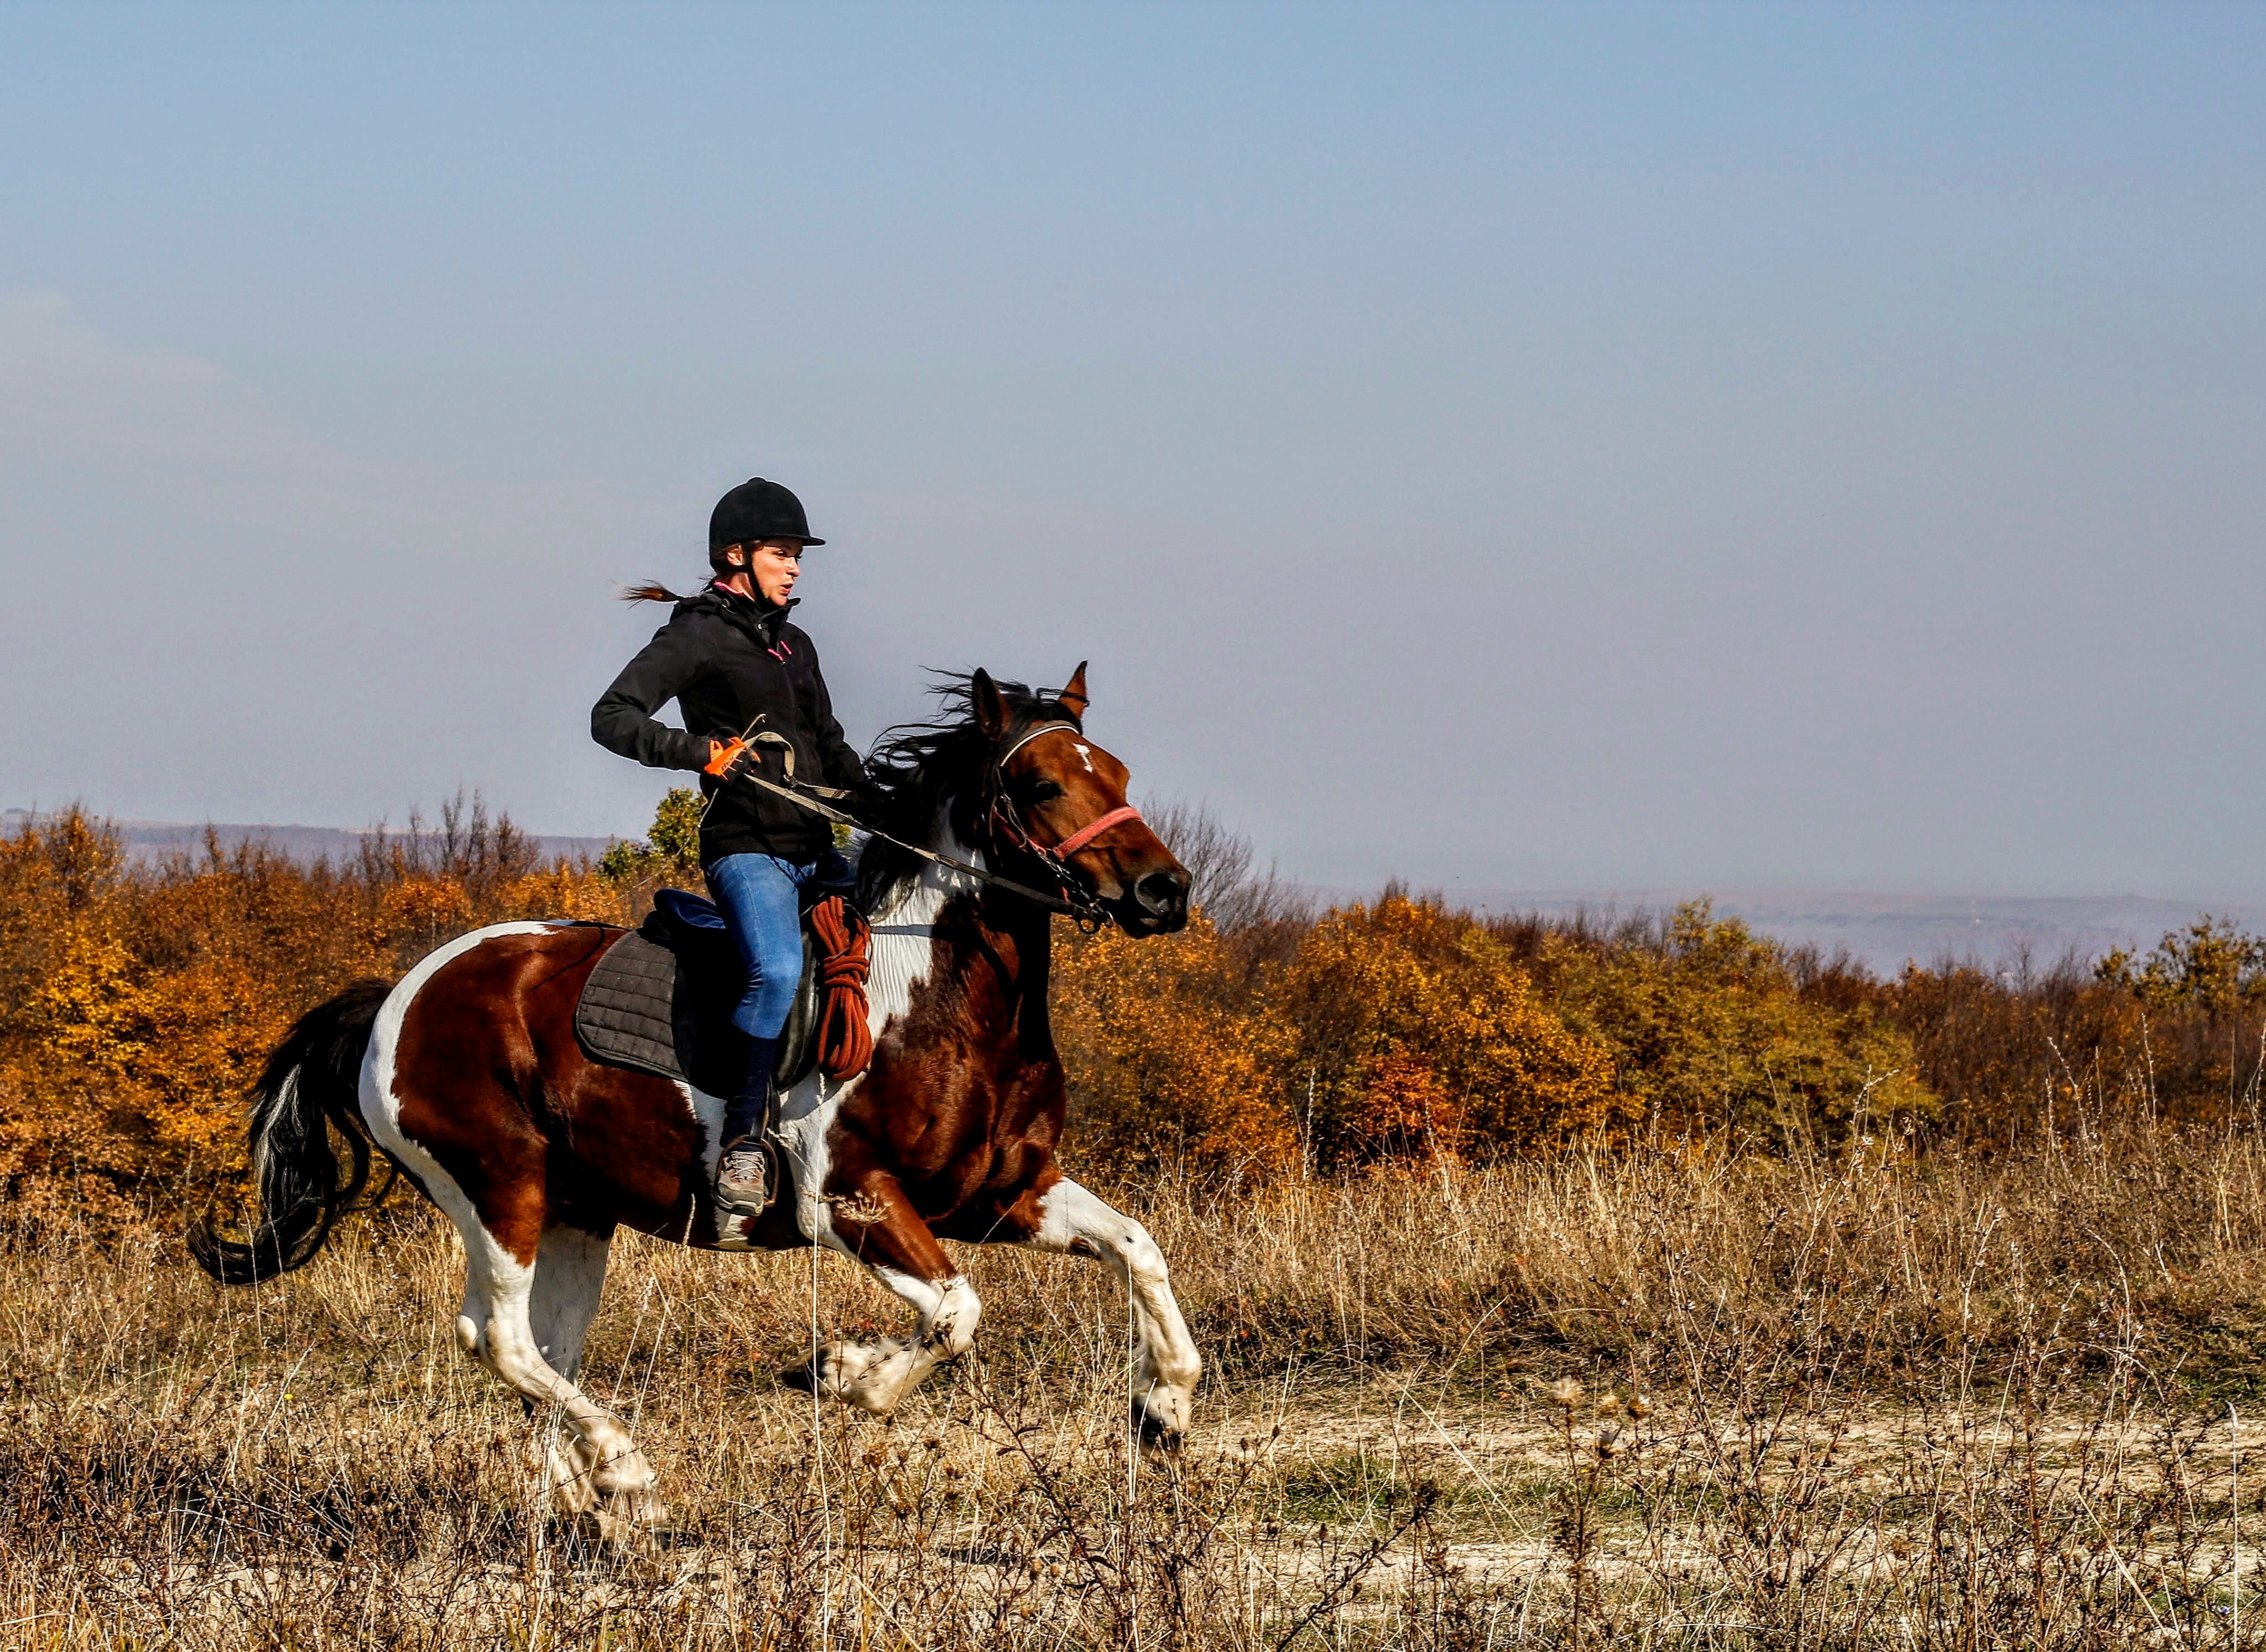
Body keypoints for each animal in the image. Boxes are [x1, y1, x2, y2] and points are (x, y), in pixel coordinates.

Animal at [195, 661, 1205, 1523]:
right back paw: (625, 1471)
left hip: (577, 1211)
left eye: (1115, 771)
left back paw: (587, 1497)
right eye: (1039, 783)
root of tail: (397, 997)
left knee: (543, 1351)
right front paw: (844, 1373)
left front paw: (1162, 1406)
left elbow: (1138, 1248)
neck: (938, 995)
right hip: (497, 1186)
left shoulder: (1002, 1192)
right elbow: (957, 1313)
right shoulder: (852, 1199)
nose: (1165, 889)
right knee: (499, 1337)